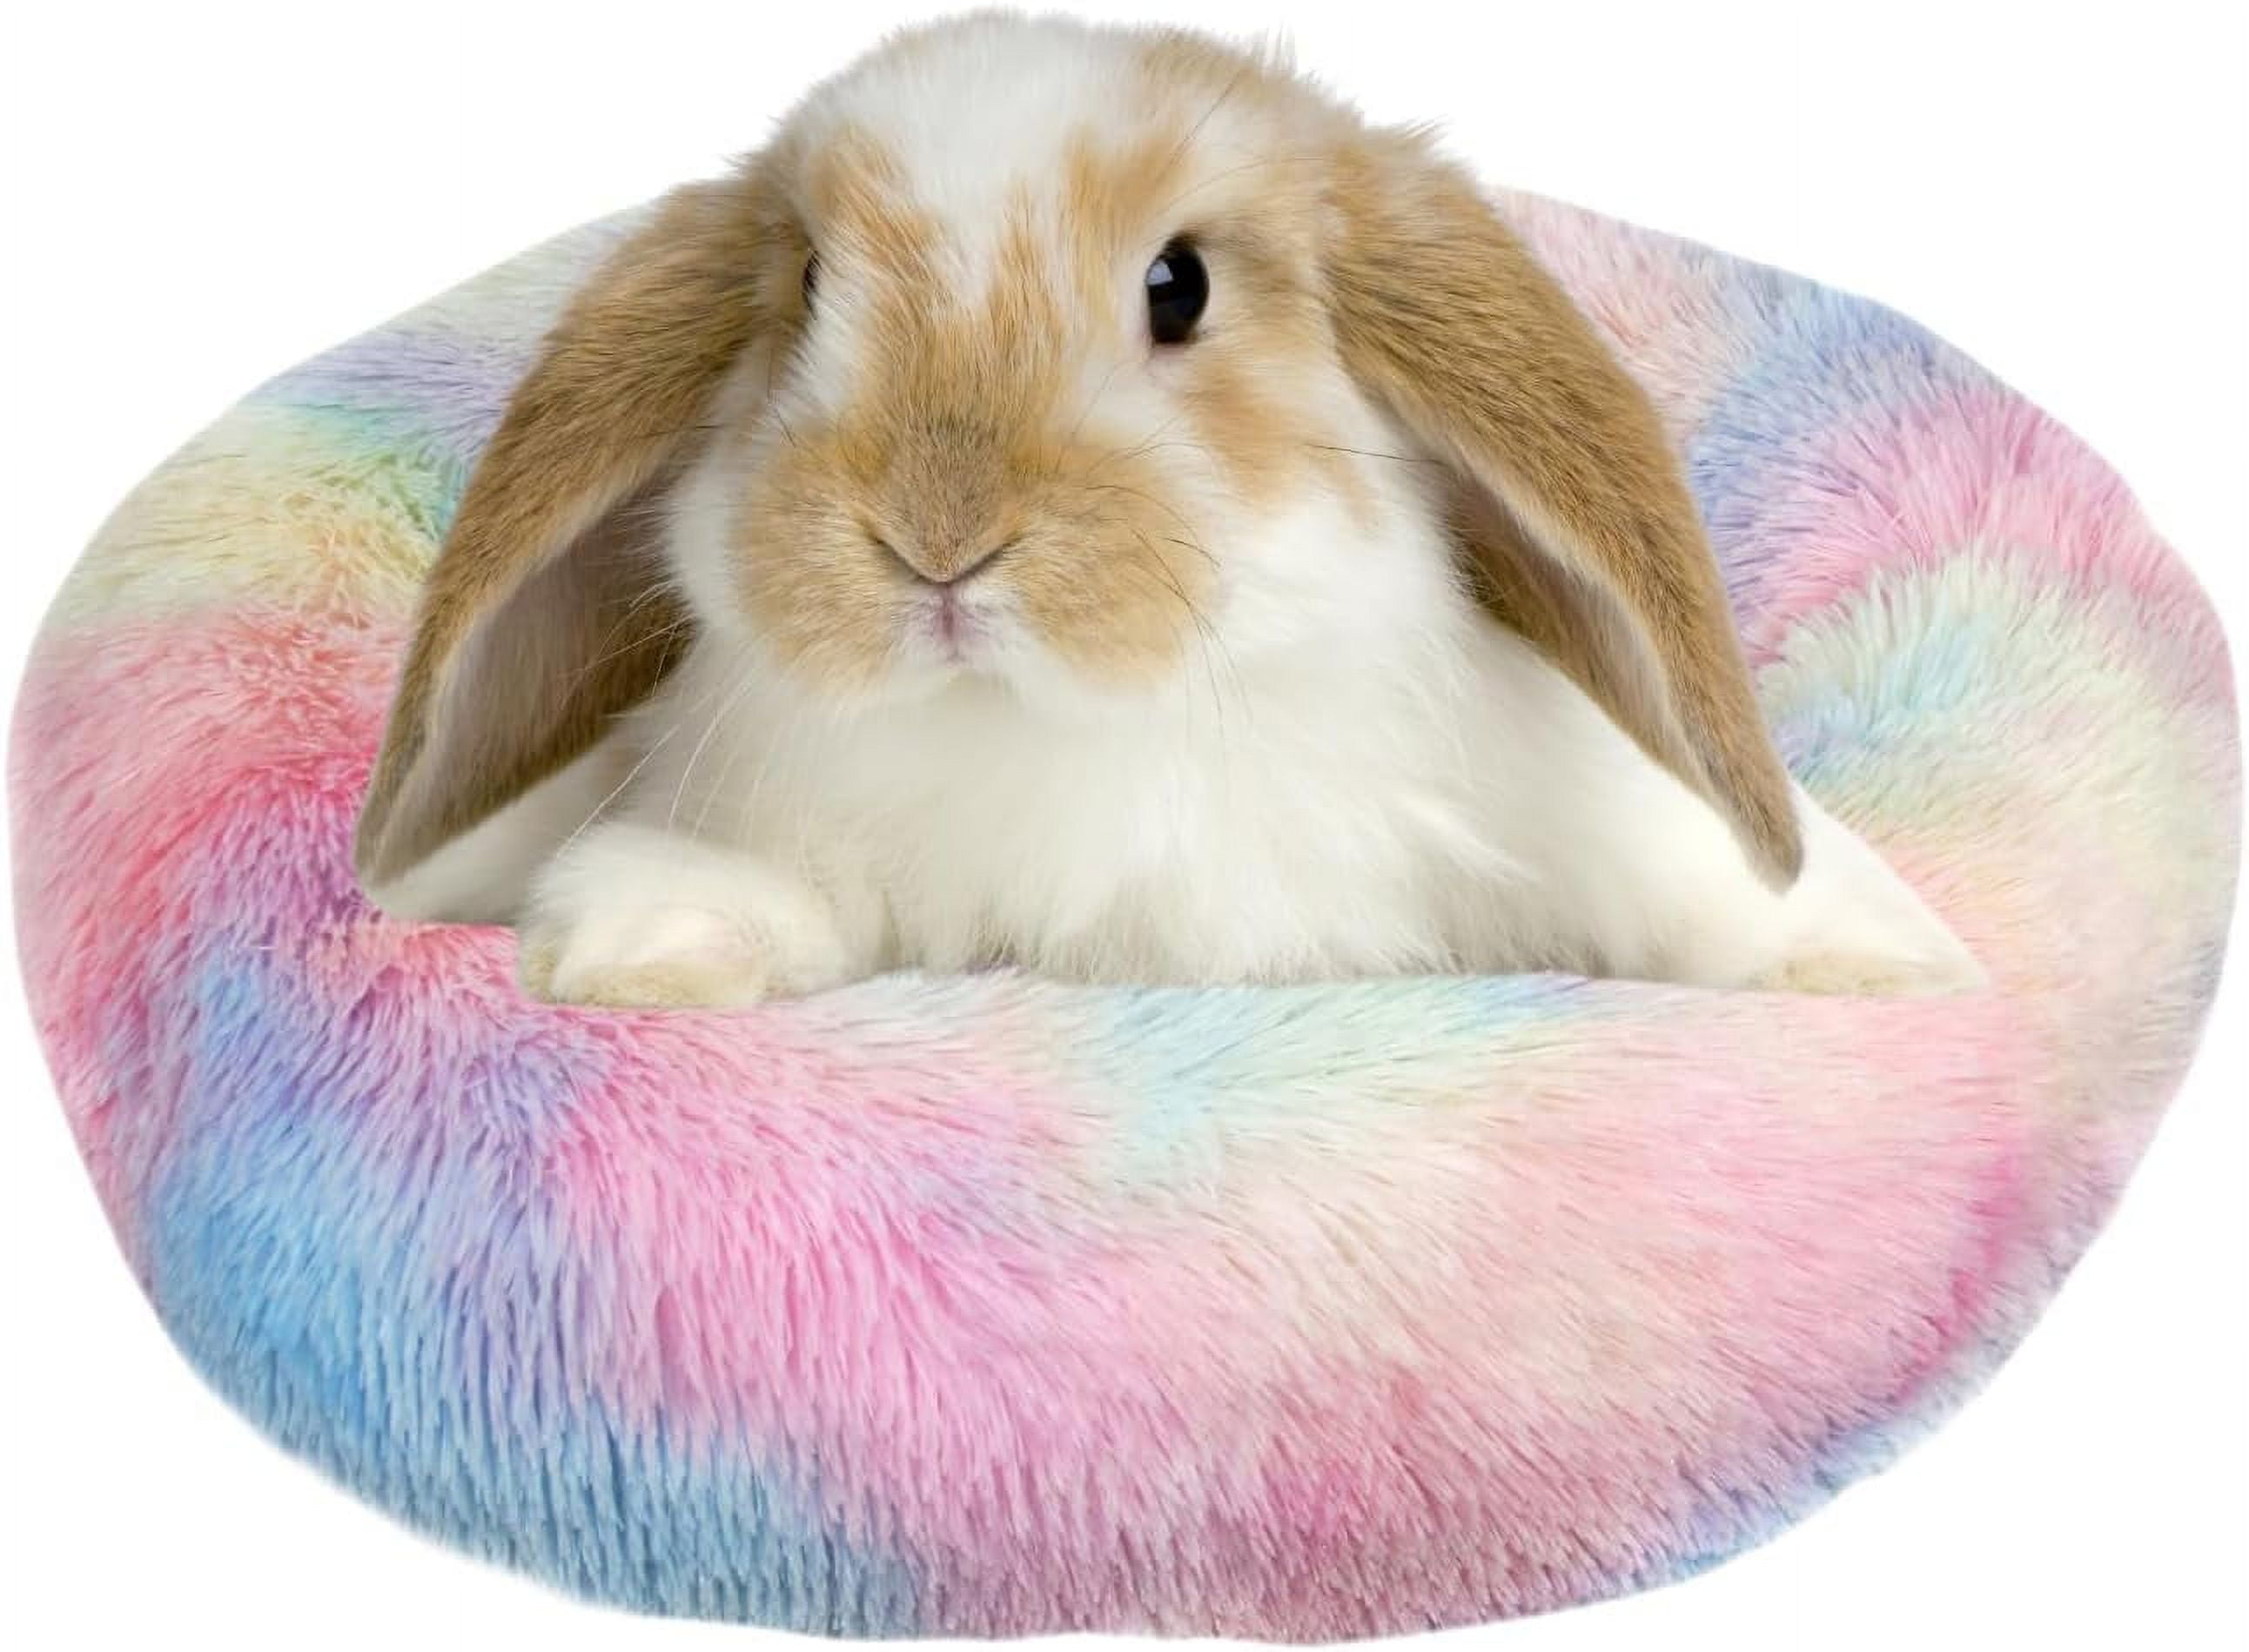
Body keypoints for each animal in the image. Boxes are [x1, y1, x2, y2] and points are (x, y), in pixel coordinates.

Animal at [356, 11, 1984, 1008]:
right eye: (807, 286)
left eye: (1178, 285)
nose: (934, 538)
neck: (1082, 729)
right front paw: (648, 946)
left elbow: (1700, 877)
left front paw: (1884, 960)